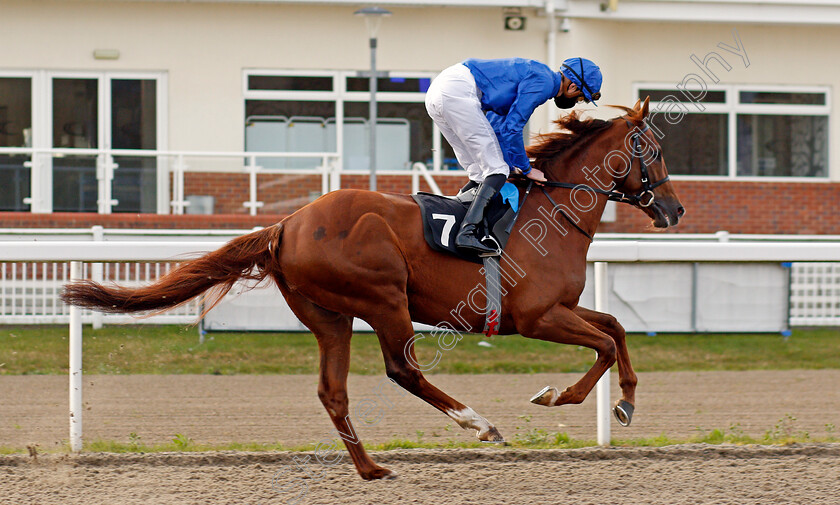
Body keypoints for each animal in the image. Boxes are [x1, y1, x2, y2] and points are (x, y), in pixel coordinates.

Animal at [64, 98, 684, 480]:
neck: (552, 212)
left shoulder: (562, 307)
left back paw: (370, 469)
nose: (675, 210)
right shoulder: (536, 317)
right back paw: (478, 424)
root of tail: (286, 224)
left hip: (330, 317)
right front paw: (556, 396)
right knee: (402, 369)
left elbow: (616, 329)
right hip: (384, 298)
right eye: (653, 151)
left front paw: (626, 402)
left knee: (332, 391)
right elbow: (602, 345)